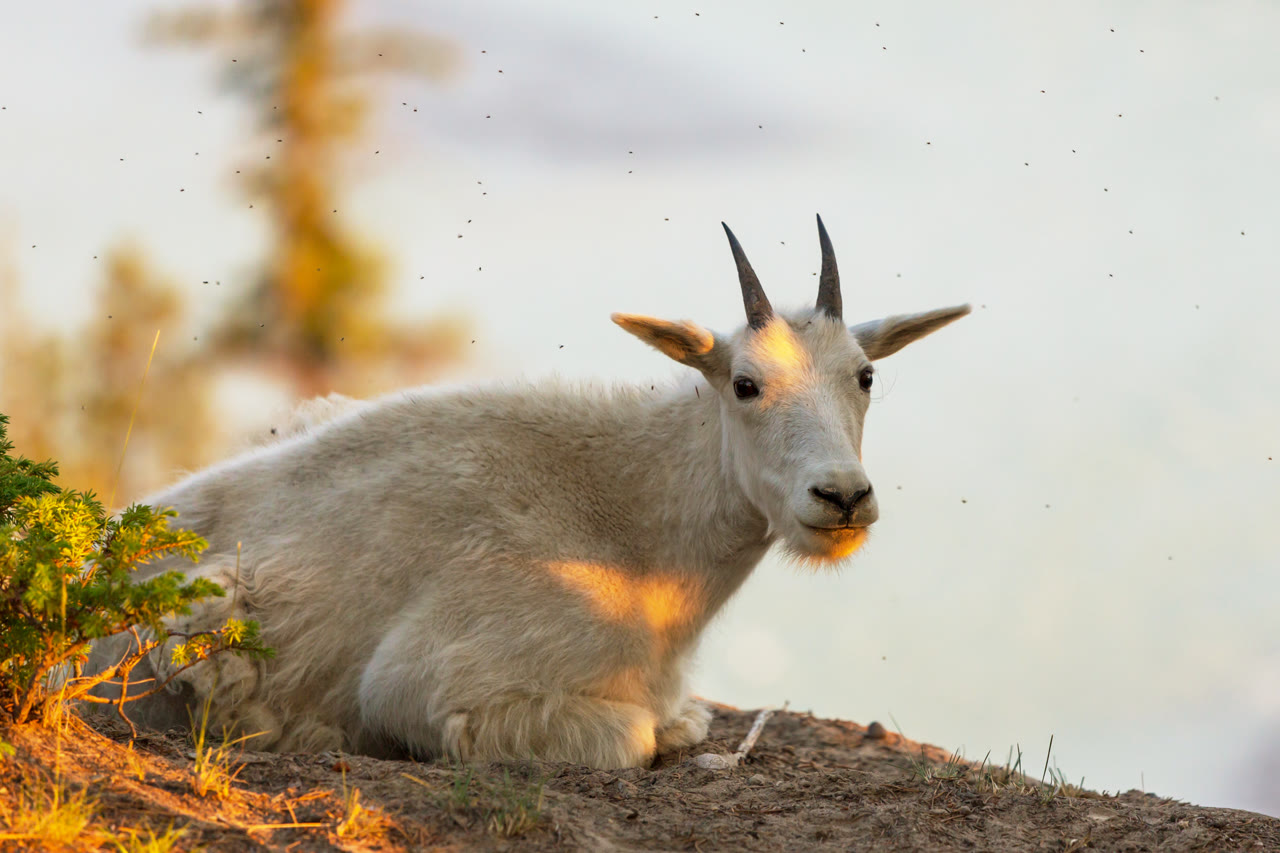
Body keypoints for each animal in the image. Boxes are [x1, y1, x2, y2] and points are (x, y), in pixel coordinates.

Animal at [86, 216, 969, 769]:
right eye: (746, 384)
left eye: (864, 374)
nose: (842, 497)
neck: (637, 532)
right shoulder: (432, 682)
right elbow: (635, 736)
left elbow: (682, 719)